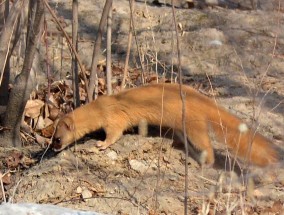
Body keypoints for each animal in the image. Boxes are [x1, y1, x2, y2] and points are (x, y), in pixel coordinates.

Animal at [51, 82, 280, 166]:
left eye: (58, 138)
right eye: (51, 136)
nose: (53, 148)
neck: (102, 104)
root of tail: (202, 99)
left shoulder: (114, 118)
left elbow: (115, 133)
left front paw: (101, 144)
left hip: (193, 124)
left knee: (206, 144)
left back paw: (205, 162)